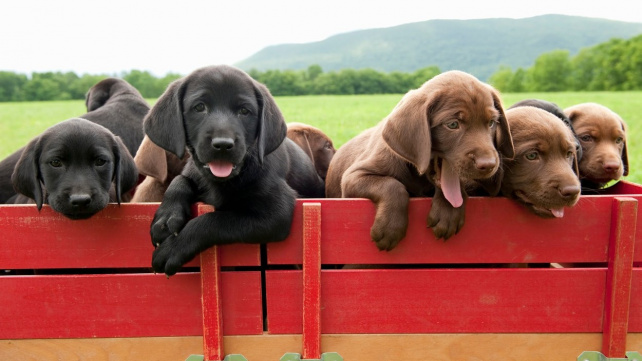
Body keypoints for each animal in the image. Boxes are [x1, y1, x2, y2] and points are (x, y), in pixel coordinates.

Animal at [146, 64, 324, 274]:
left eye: (244, 111)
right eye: (199, 107)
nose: (223, 144)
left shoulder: (276, 214)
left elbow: (213, 220)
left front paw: (173, 248)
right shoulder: (192, 171)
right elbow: (180, 180)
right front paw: (166, 218)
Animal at [324, 71, 510, 250]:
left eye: (492, 123)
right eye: (452, 124)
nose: (489, 165)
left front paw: (448, 213)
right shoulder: (352, 177)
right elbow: (393, 185)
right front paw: (390, 228)